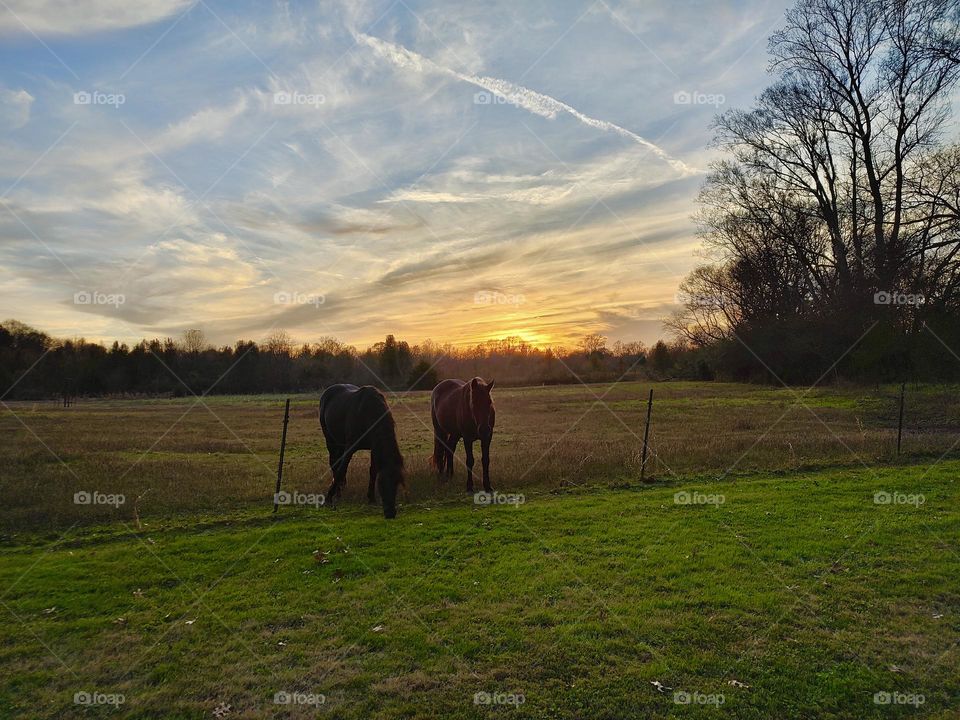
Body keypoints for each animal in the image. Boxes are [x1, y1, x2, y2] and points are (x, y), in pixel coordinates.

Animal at [316, 386, 404, 520]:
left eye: (397, 483)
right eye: (382, 483)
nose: (390, 513)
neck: (367, 413)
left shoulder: (373, 447)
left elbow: (373, 471)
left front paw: (371, 498)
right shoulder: (350, 447)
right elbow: (341, 470)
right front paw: (328, 497)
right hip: (331, 441)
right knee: (335, 465)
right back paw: (337, 492)